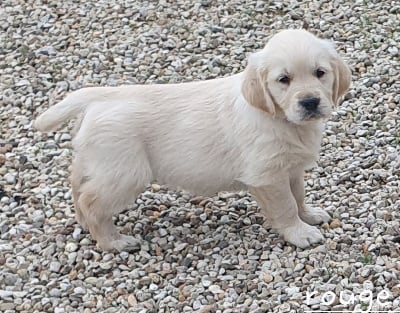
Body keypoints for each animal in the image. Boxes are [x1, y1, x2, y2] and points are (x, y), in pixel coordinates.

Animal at [36, 29, 352, 251]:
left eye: (320, 73)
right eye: (283, 80)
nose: (310, 102)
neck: (280, 119)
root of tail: (98, 97)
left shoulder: (291, 168)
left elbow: (298, 195)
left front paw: (308, 215)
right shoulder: (267, 175)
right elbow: (286, 205)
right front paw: (300, 233)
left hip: (99, 163)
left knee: (78, 187)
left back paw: (84, 223)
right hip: (124, 173)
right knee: (91, 201)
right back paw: (113, 242)